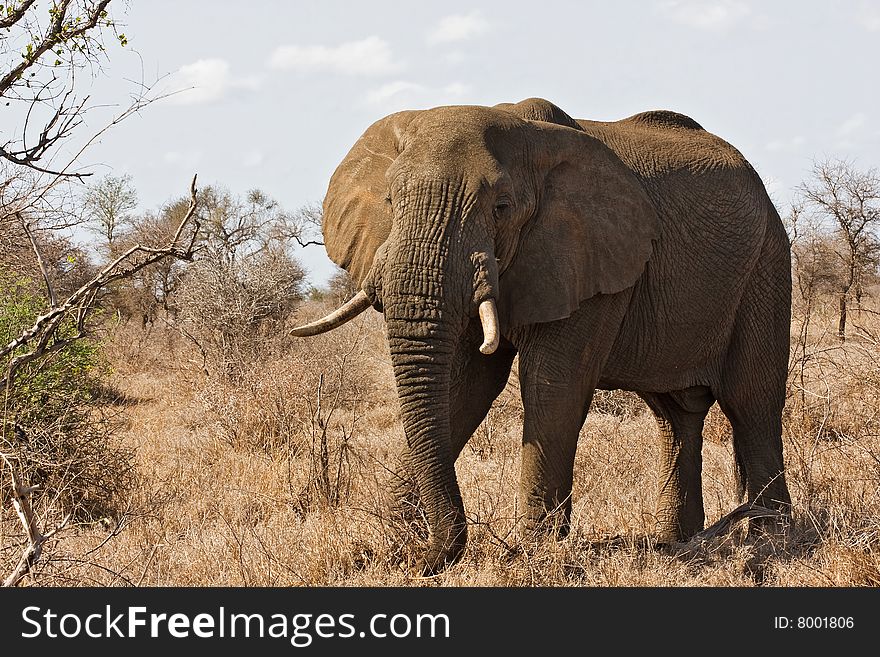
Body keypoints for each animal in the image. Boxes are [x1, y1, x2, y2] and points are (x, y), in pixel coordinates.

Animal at [292, 97, 796, 576]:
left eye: (501, 208)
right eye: (392, 202)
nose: (421, 559)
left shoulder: (589, 256)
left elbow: (552, 386)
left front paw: (533, 554)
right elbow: (465, 386)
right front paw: (395, 544)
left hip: (767, 264)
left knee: (751, 401)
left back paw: (770, 541)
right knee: (674, 414)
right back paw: (676, 542)